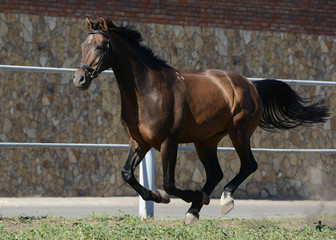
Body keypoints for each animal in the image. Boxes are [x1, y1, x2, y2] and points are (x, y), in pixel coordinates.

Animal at [73, 17, 328, 225]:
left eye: (99, 46)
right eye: (83, 45)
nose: (79, 79)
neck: (148, 90)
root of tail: (252, 86)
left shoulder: (168, 142)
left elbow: (169, 183)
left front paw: (174, 196)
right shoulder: (140, 141)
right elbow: (126, 173)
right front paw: (157, 196)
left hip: (239, 133)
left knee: (248, 165)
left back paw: (223, 201)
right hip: (206, 141)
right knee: (215, 173)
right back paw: (193, 212)